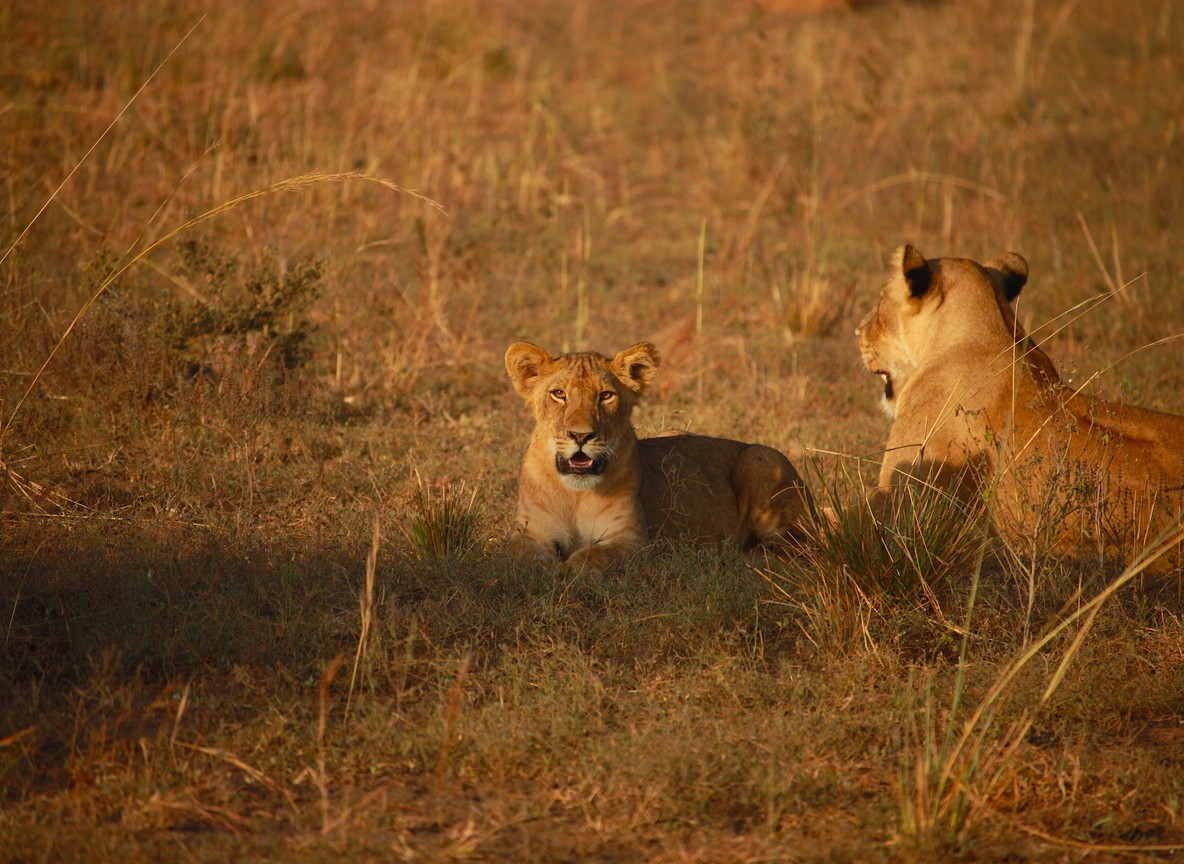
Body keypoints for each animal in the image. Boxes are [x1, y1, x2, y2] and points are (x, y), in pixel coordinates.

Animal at [505, 341, 814, 572]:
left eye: (605, 395)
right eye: (559, 394)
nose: (581, 436)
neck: (575, 495)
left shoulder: (633, 541)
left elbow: (593, 555)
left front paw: (567, 570)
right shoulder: (530, 532)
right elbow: (524, 557)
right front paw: (545, 571)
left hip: (760, 459)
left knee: (798, 551)